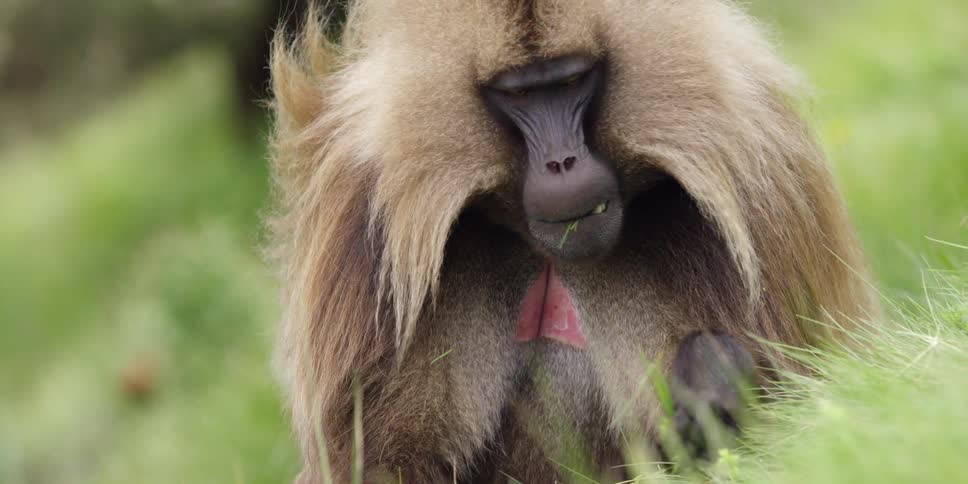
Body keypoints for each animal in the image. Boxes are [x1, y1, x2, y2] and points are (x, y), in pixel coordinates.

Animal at [266, 1, 880, 482]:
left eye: (569, 82)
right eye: (519, 95)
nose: (562, 163)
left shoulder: (759, 174)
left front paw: (712, 383)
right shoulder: (364, 224)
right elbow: (382, 456)